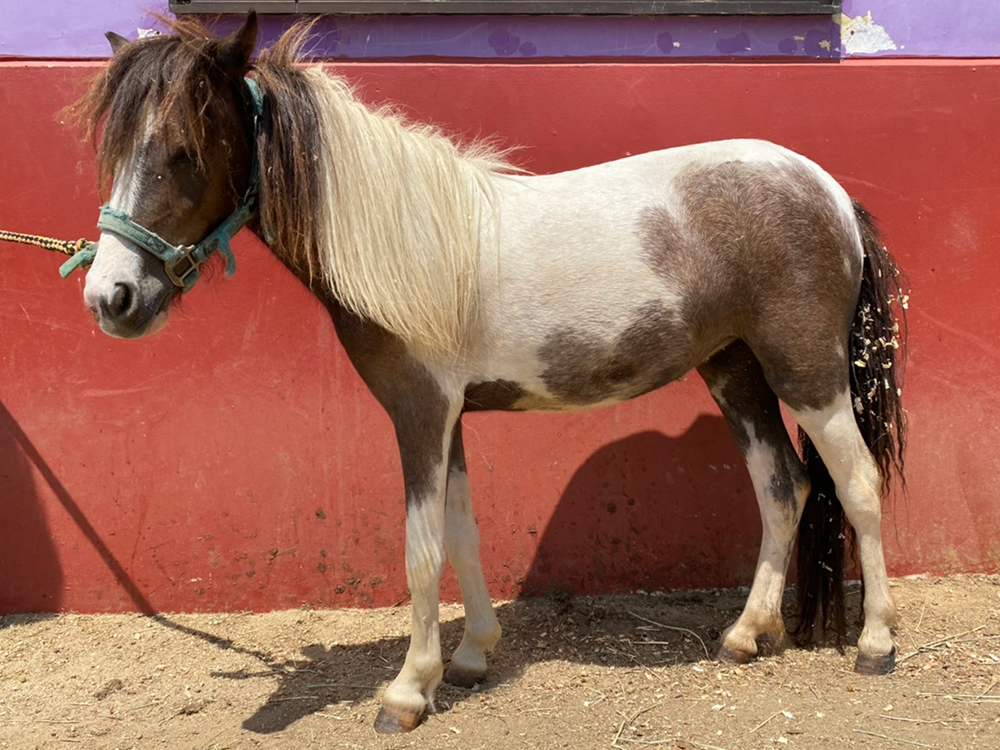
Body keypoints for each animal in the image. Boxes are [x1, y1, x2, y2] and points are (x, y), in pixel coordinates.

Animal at [72, 14, 908, 736]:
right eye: (114, 153)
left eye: (184, 149)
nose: (111, 299)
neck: (407, 245)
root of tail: (830, 193)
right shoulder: (452, 419)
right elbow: (463, 533)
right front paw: (472, 656)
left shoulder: (418, 413)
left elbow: (420, 549)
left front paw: (407, 692)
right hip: (734, 370)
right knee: (782, 488)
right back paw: (745, 633)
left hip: (807, 375)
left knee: (857, 484)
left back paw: (876, 645)